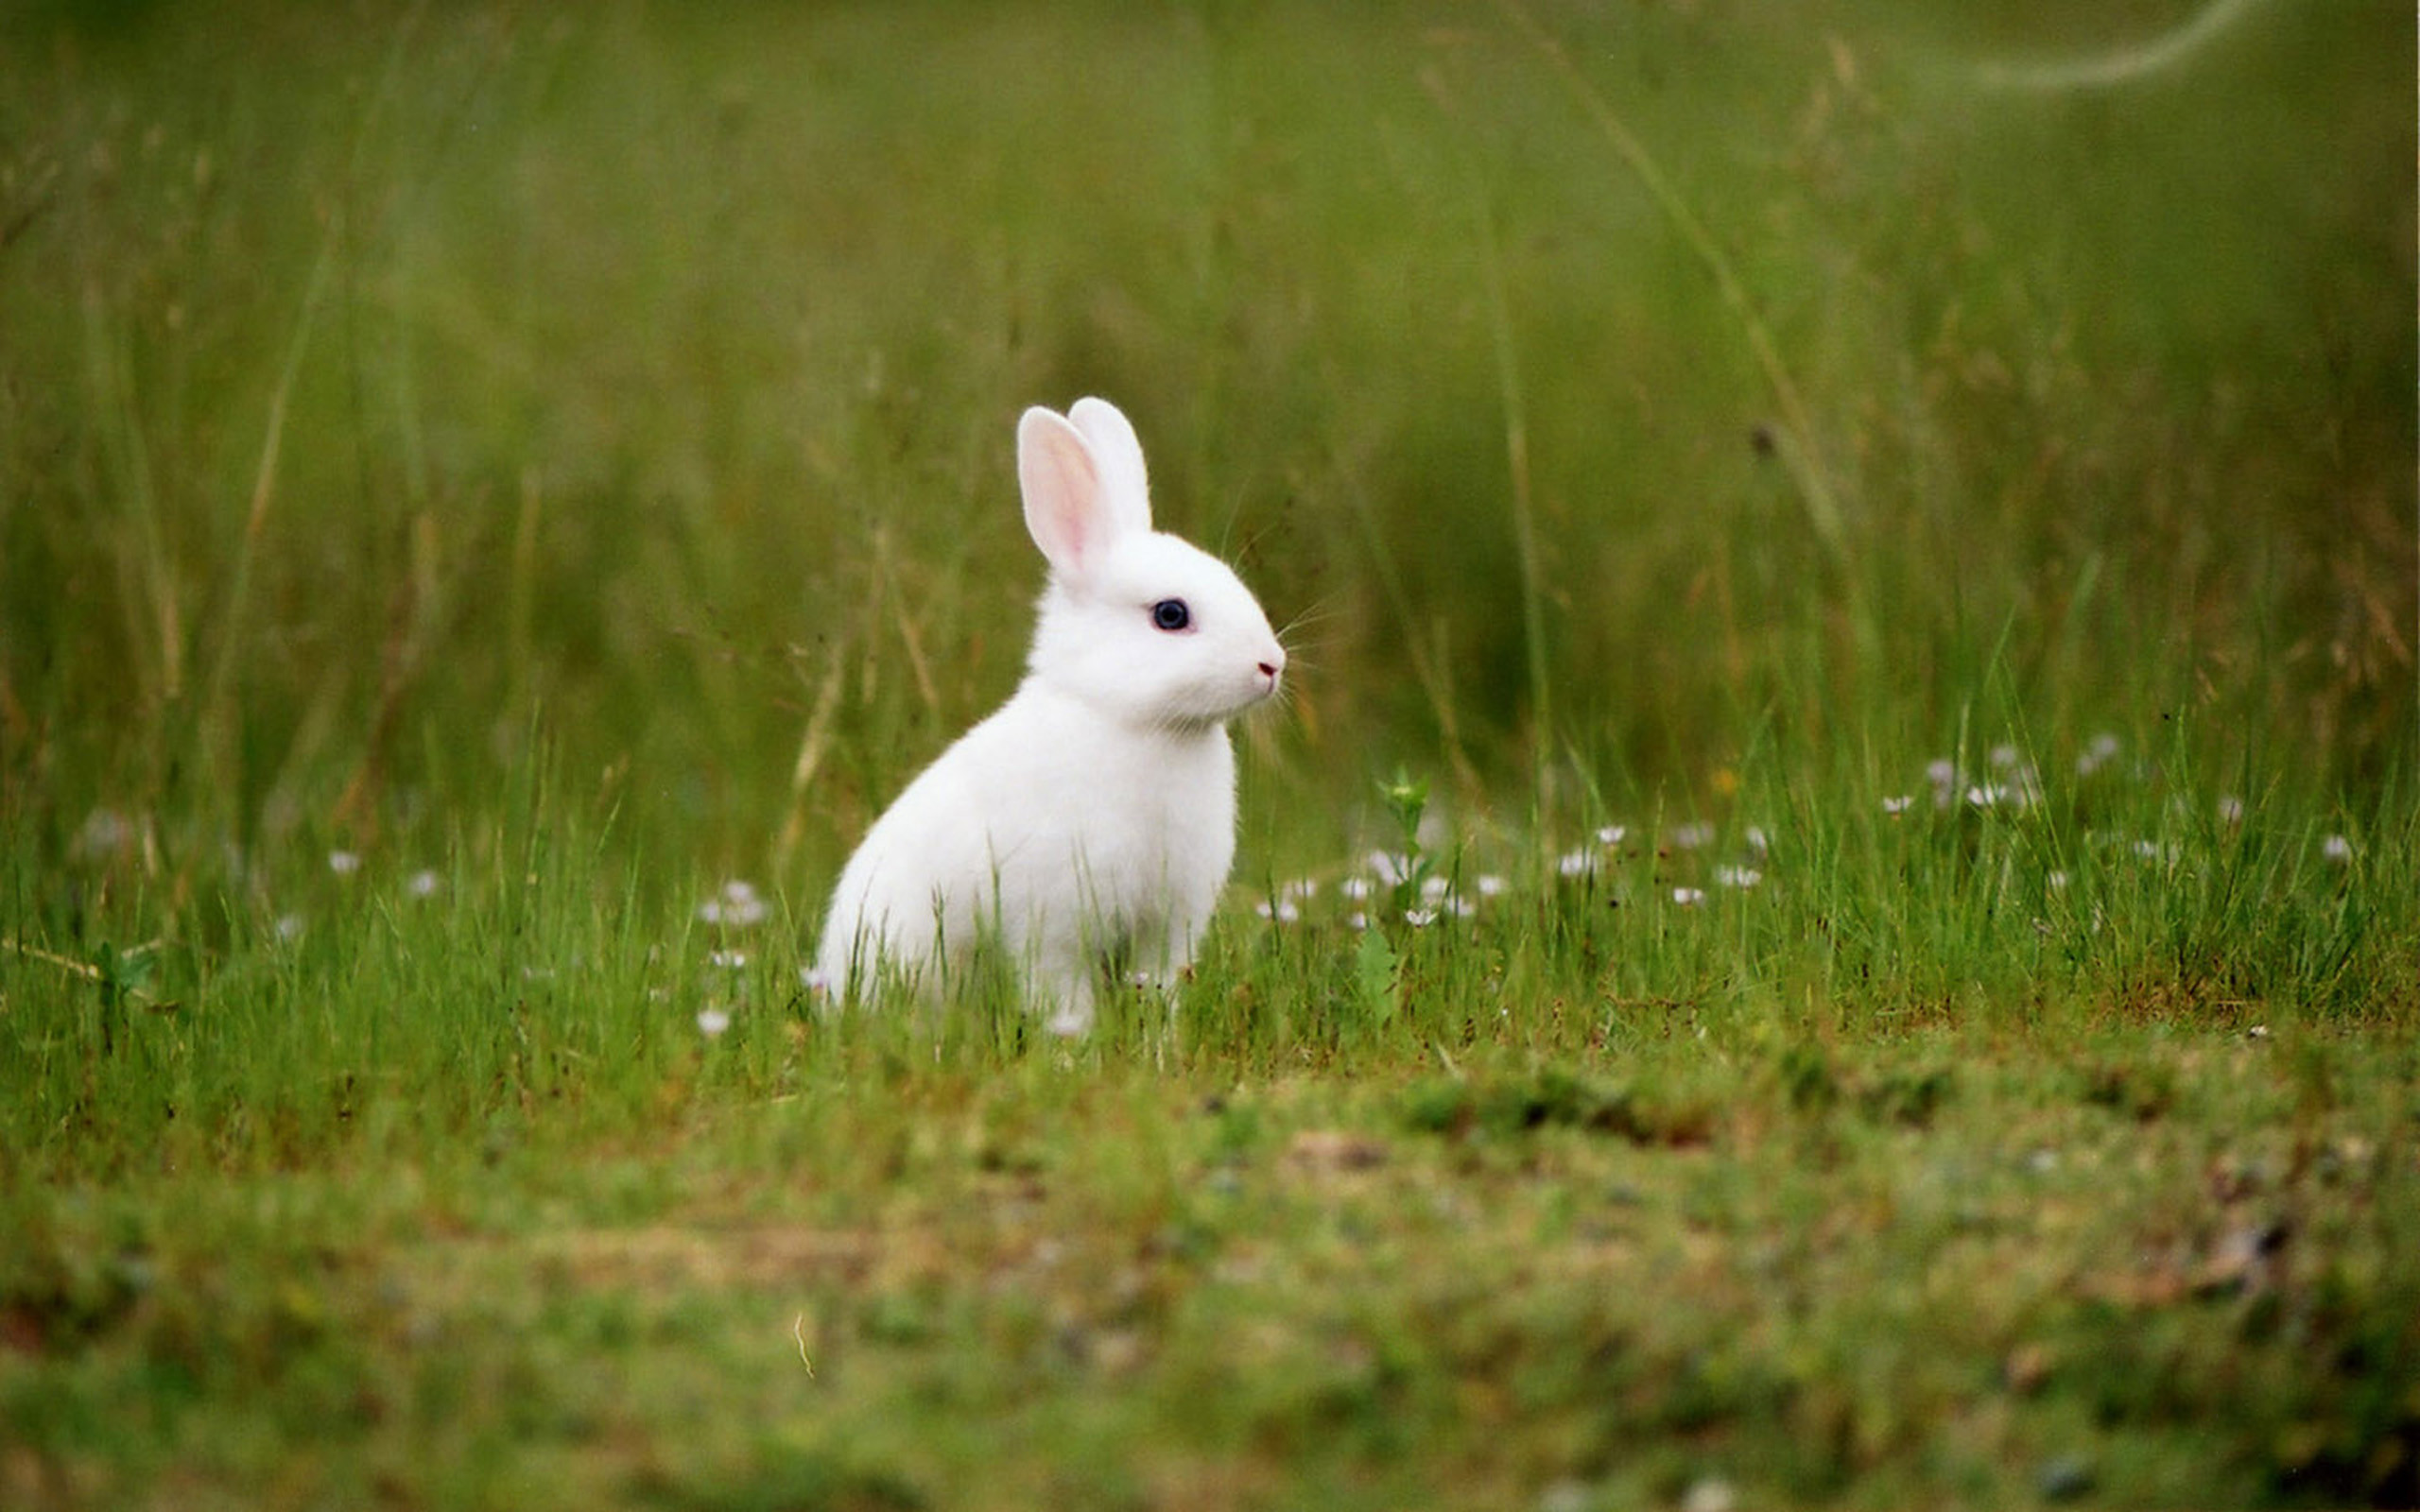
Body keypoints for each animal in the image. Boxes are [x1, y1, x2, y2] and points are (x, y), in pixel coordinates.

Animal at [814, 397, 1286, 1035]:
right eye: (1170, 614)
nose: (1271, 665)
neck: (1127, 718)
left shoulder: (1169, 926)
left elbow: (1159, 990)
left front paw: (1158, 1047)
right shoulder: (1052, 923)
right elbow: (1063, 1000)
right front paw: (1074, 1049)